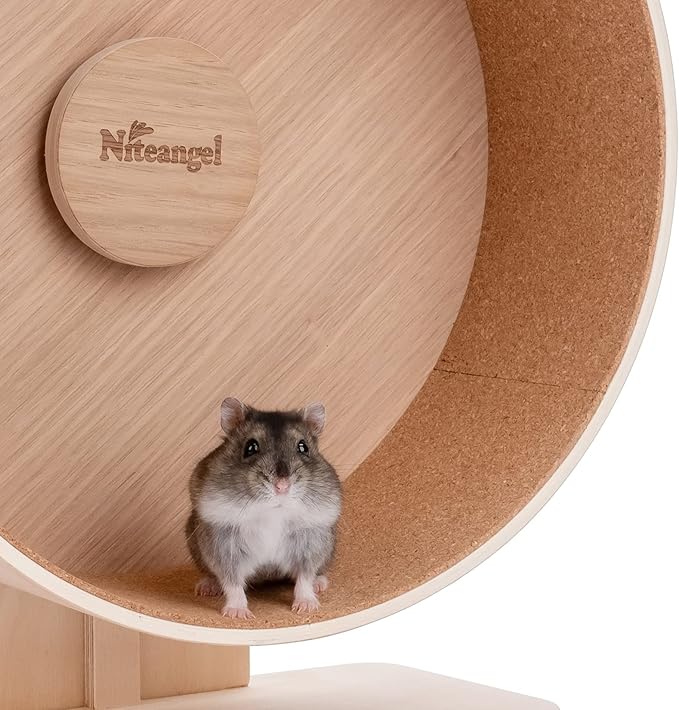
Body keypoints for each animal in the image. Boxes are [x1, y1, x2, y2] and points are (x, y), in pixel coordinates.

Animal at [185, 397, 342, 619]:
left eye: (303, 447)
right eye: (250, 447)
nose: (282, 487)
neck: (273, 511)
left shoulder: (310, 544)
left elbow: (304, 577)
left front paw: (306, 607)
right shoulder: (224, 547)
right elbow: (232, 583)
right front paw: (238, 614)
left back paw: (320, 584)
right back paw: (207, 587)